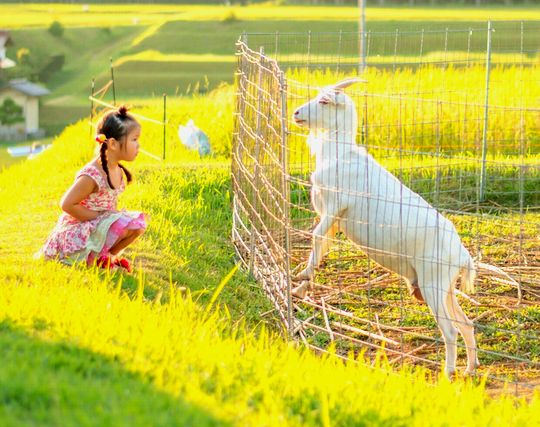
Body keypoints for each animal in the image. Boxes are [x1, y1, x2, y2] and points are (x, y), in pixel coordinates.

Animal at [294, 77, 478, 378]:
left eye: (324, 101)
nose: (296, 113)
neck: (340, 154)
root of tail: (462, 255)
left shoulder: (335, 206)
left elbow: (316, 236)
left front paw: (301, 278)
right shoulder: (333, 216)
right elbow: (321, 244)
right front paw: (301, 286)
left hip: (433, 283)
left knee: (450, 331)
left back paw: (448, 373)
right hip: (446, 287)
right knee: (467, 324)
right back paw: (470, 369)